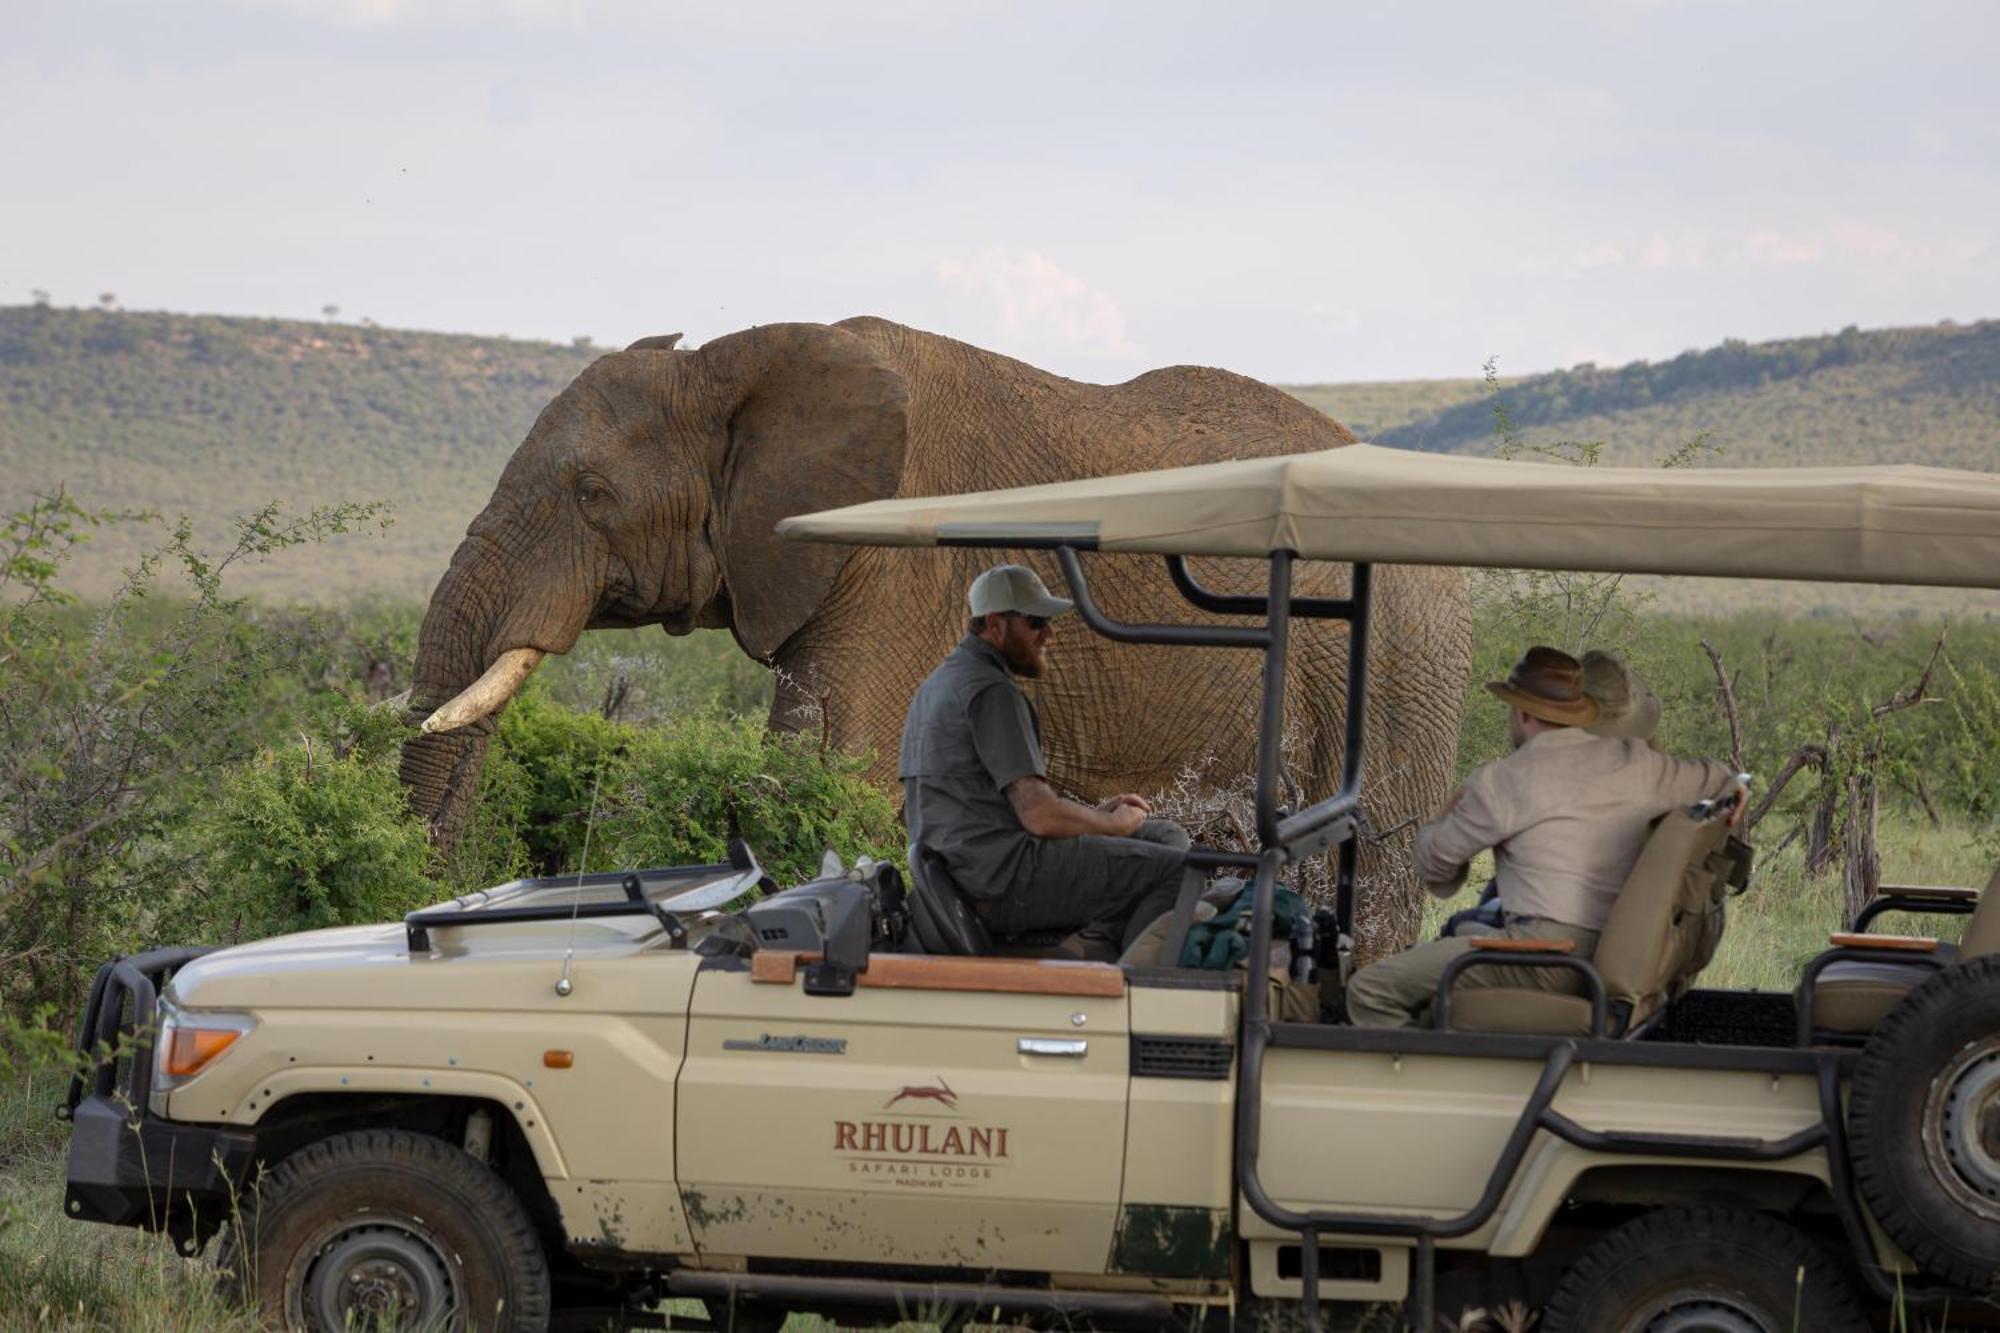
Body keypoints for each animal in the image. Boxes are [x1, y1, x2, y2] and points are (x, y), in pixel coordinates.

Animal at [402, 312, 1472, 956]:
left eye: (591, 495)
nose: (433, 911)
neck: (742, 357)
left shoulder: (888, 567)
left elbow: (824, 771)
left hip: (1404, 666)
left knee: (1376, 878)